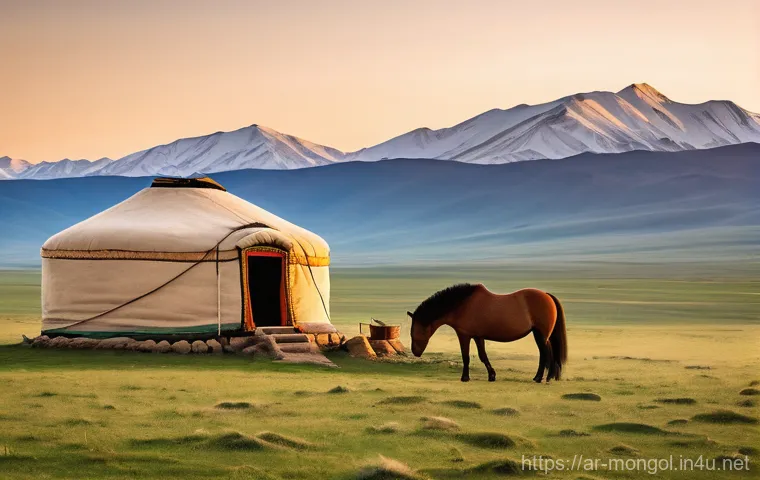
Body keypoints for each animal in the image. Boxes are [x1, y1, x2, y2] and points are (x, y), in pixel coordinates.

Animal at [407, 283, 567, 383]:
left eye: (413, 332)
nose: (415, 352)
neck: (462, 305)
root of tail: (546, 296)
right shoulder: (478, 337)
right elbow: (483, 355)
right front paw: (492, 375)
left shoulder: (464, 335)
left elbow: (466, 357)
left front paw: (465, 377)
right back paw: (544, 377)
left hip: (540, 335)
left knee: (545, 353)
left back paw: (539, 378)